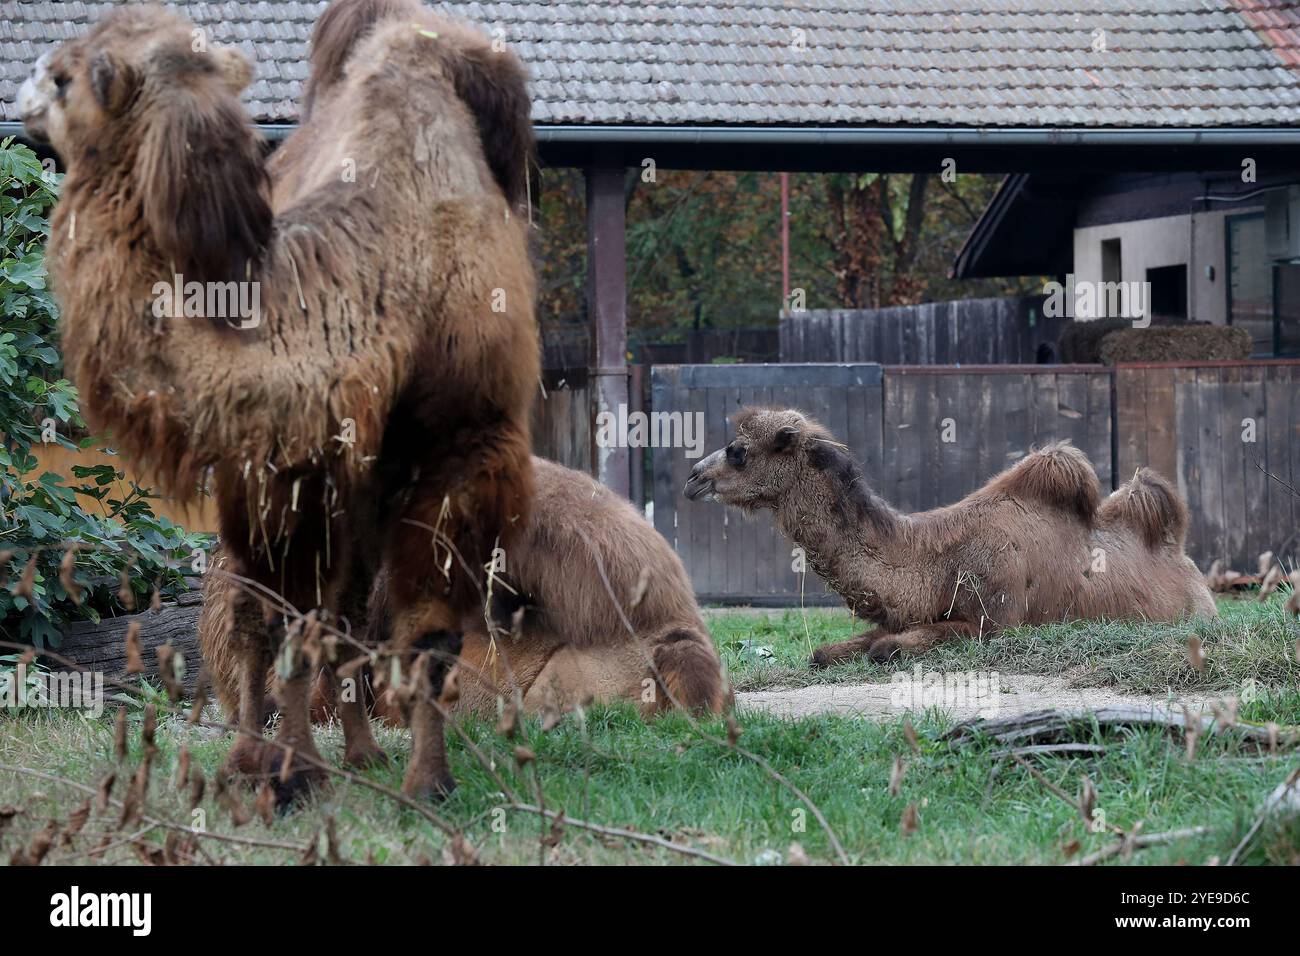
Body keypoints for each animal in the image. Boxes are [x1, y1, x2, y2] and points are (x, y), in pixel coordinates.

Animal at [686, 405, 1211, 665]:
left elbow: (886, 649)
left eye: (737, 451)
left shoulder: (997, 622)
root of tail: (1187, 563)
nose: (693, 477)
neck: (934, 560)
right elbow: (825, 652)